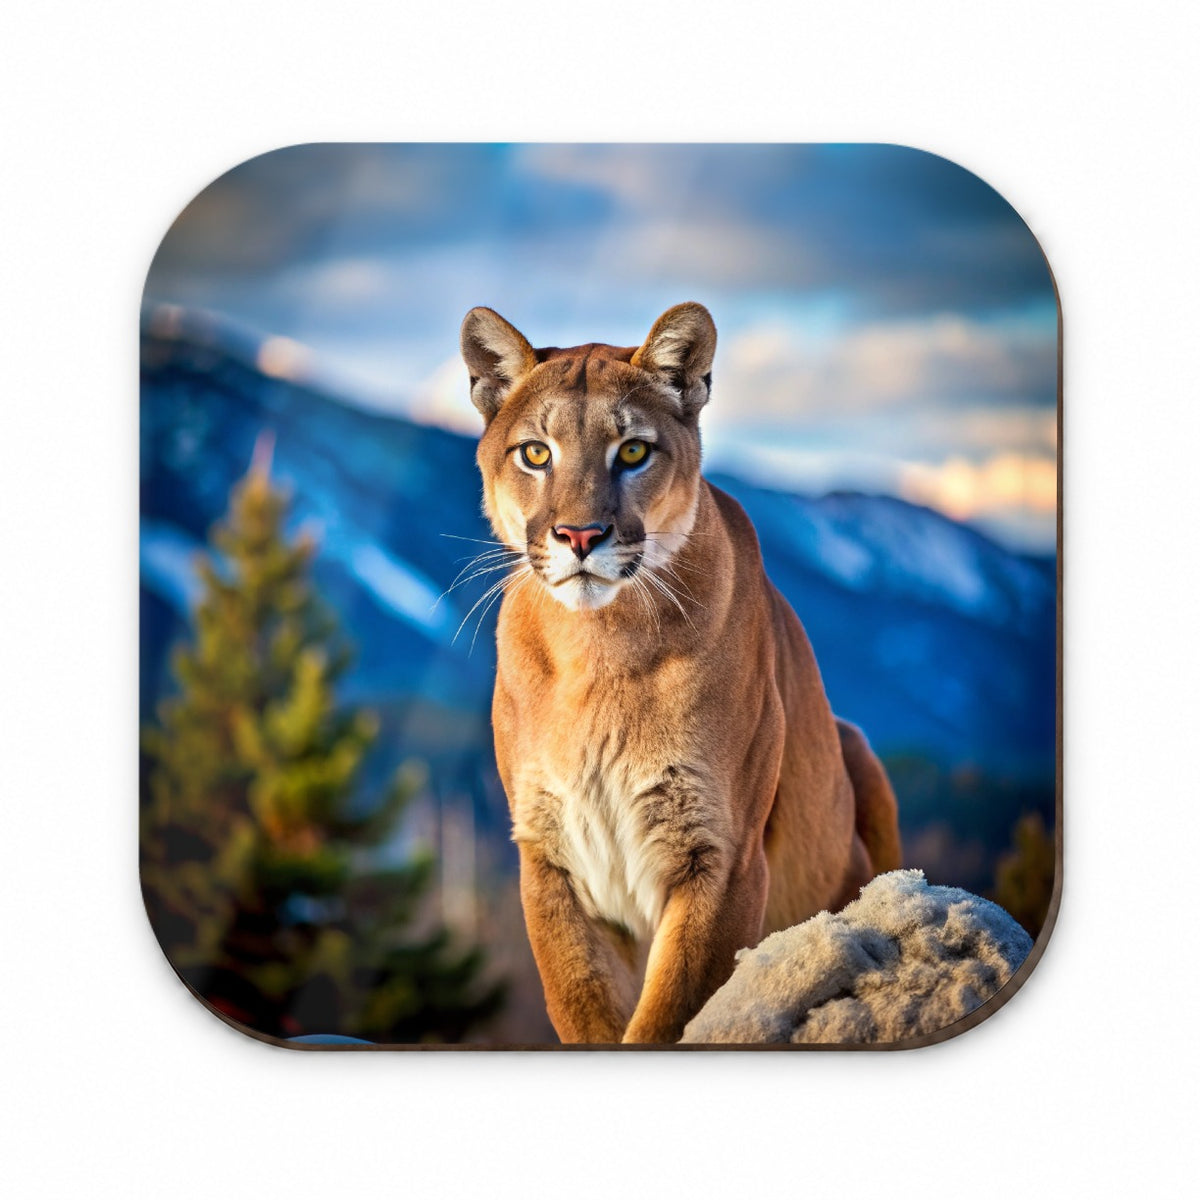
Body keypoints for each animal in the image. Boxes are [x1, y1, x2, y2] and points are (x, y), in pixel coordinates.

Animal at [460, 301, 901, 1044]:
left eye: (634, 451)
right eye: (536, 452)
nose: (581, 536)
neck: (597, 649)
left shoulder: (718, 856)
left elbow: (669, 1015)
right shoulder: (549, 856)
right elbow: (580, 1001)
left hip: (863, 763)